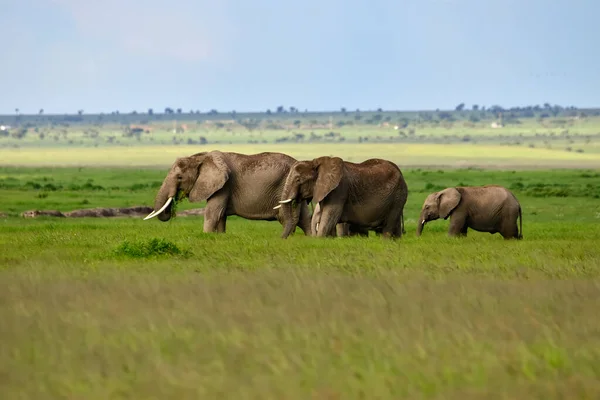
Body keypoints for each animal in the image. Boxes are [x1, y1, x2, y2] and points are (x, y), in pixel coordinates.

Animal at [144, 151, 314, 234]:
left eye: (179, 177)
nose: (170, 212)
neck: (200, 157)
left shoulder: (224, 185)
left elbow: (213, 213)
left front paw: (206, 235)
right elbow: (221, 216)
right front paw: (219, 236)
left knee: (287, 218)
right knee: (305, 219)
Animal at [276, 155, 408, 238]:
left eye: (298, 180)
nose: (281, 239)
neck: (315, 162)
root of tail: (400, 172)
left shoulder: (339, 190)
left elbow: (329, 216)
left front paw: (319, 239)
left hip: (398, 195)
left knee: (388, 227)